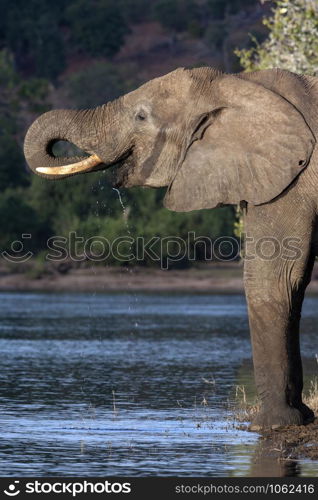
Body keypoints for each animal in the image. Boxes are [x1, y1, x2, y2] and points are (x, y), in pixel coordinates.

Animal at [24, 67, 318, 430]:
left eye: (141, 116)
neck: (240, 84)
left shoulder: (293, 183)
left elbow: (273, 278)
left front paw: (274, 425)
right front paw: (300, 417)